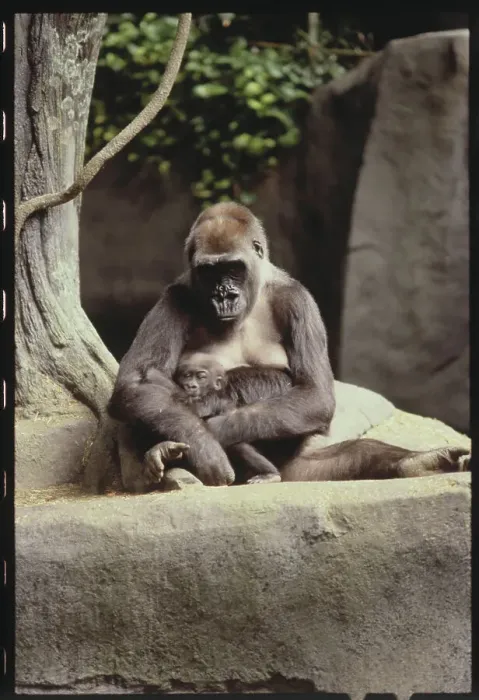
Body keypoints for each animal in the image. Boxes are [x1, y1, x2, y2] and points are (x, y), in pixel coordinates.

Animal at [104, 202, 470, 494]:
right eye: (210, 271)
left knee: (353, 455)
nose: (224, 296)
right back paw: (164, 462)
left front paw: (214, 430)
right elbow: (136, 382)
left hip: (297, 471)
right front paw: (203, 444)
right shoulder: (175, 295)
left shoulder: (297, 300)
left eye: (233, 268)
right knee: (149, 393)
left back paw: (421, 462)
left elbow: (314, 393)